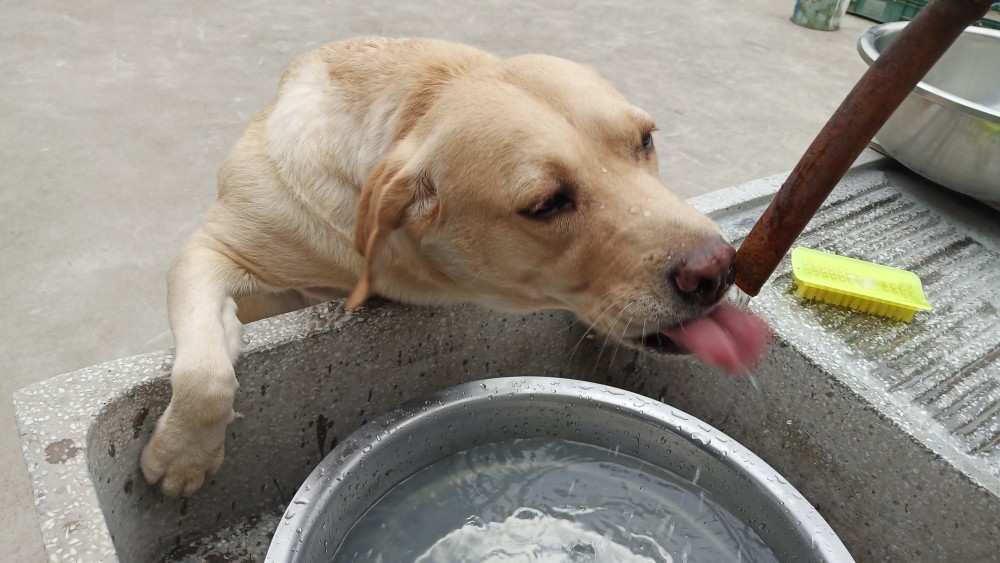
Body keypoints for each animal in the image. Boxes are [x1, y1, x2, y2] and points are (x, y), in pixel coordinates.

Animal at [141, 36, 764, 498]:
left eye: (645, 140)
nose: (717, 269)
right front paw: (183, 457)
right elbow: (204, 374)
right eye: (547, 204)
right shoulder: (212, 249)